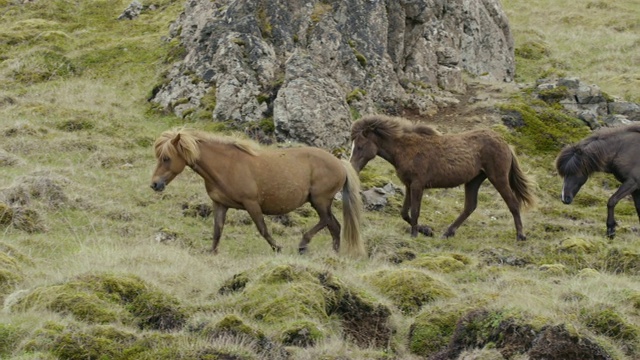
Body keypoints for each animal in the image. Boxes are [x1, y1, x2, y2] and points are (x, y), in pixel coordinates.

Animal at [147, 129, 362, 256]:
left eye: (166, 158)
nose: (155, 184)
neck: (226, 166)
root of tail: (340, 163)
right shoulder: (220, 204)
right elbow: (217, 230)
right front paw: (212, 252)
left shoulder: (251, 204)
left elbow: (263, 229)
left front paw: (278, 248)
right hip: (321, 202)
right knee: (335, 226)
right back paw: (334, 253)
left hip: (320, 200)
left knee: (327, 221)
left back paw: (303, 244)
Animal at [350, 114, 536, 240]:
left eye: (359, 146)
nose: (352, 168)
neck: (406, 149)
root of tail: (505, 143)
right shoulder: (409, 185)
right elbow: (404, 213)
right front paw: (426, 230)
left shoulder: (417, 184)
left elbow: (414, 211)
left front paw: (415, 234)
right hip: (474, 180)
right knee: (470, 206)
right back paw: (447, 233)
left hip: (498, 177)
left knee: (513, 203)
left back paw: (520, 235)